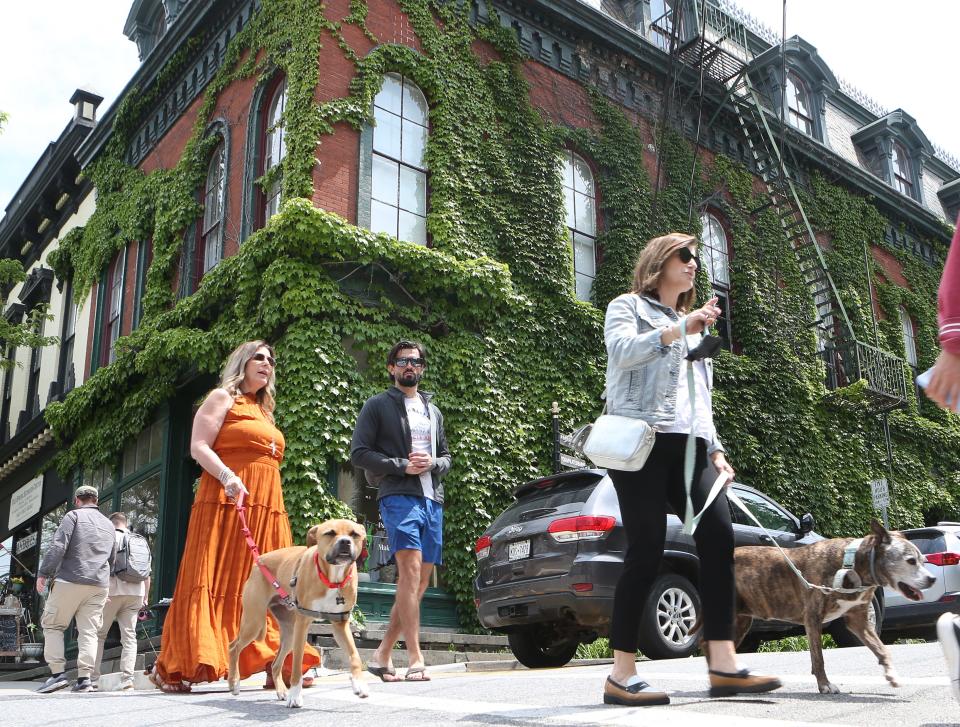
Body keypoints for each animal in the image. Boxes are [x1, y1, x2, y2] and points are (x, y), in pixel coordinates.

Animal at [227, 520, 370, 708]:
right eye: (330, 533)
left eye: (354, 534)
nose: (345, 542)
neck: (331, 578)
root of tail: (259, 561)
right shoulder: (303, 624)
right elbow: (296, 665)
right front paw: (295, 695)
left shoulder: (340, 625)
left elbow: (354, 655)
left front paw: (359, 684)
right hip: (254, 622)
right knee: (233, 647)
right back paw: (234, 682)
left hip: (289, 633)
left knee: (275, 664)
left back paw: (281, 691)